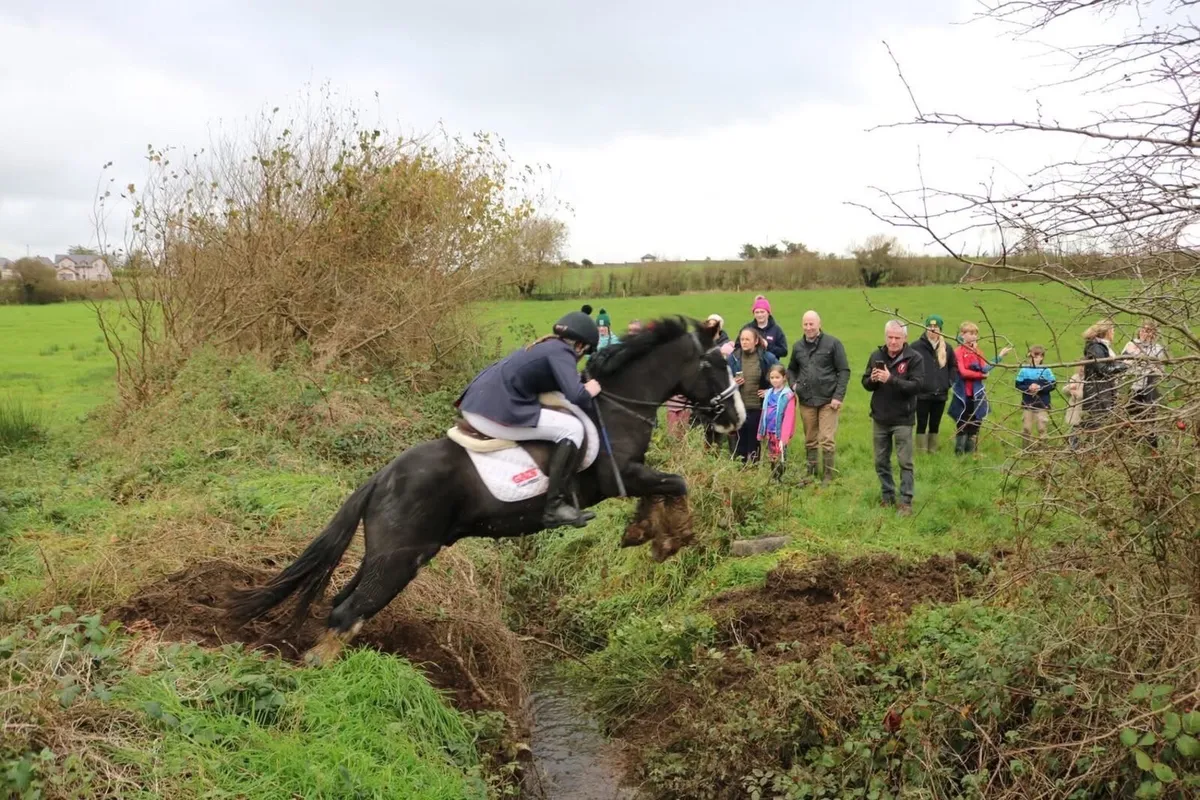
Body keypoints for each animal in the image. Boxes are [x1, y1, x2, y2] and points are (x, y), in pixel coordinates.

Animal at [225, 316, 746, 665]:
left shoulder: (634, 475)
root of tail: (381, 477)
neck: (617, 405)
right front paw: (672, 537)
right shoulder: (621, 473)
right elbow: (675, 482)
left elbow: (664, 488)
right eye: (714, 365)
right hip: (401, 558)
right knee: (349, 612)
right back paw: (321, 670)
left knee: (343, 606)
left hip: (389, 554)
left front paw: (646, 530)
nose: (737, 418)